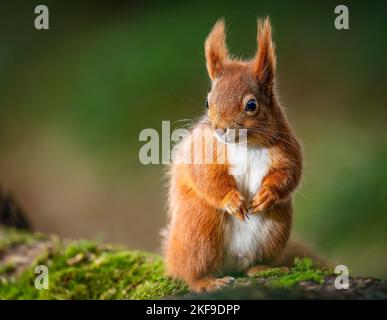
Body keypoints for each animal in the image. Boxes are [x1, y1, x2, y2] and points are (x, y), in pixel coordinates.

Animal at [162, 18, 304, 292]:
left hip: (275, 230)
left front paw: (267, 194)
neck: (246, 144)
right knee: (189, 273)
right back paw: (207, 282)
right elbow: (208, 177)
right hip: (200, 229)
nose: (221, 129)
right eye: (208, 102)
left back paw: (263, 269)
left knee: (251, 265)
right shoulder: (205, 149)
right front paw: (231, 200)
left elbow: (290, 172)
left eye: (251, 105)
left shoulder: (286, 148)